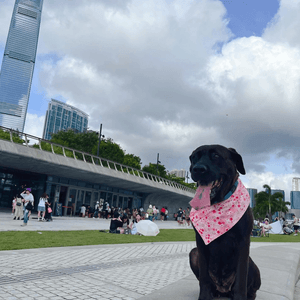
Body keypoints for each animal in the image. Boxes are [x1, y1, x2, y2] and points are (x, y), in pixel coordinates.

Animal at [190, 144, 260, 298]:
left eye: (216, 156)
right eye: (194, 157)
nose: (197, 169)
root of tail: (223, 290)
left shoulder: (243, 241)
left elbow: (241, 278)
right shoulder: (200, 242)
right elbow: (204, 278)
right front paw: (204, 296)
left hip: (252, 265)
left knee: (252, 288)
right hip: (193, 253)